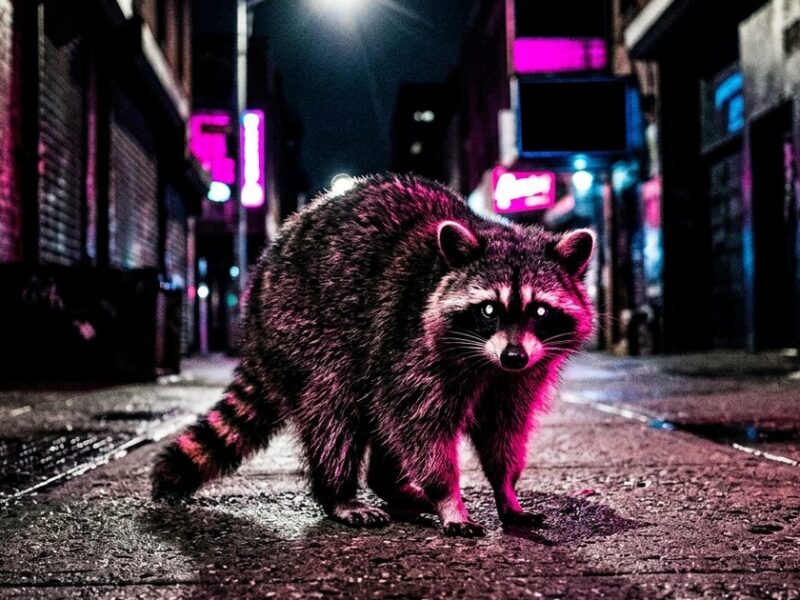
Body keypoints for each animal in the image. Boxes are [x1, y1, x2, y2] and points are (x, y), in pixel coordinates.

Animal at [152, 174, 595, 537]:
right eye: (488, 310)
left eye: (540, 312)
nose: (513, 356)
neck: (486, 363)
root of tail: (255, 305)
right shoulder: (413, 345)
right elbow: (420, 427)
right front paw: (448, 496)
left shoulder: (520, 377)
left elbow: (503, 430)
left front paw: (506, 489)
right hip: (304, 328)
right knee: (335, 409)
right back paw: (339, 492)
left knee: (378, 414)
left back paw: (391, 485)